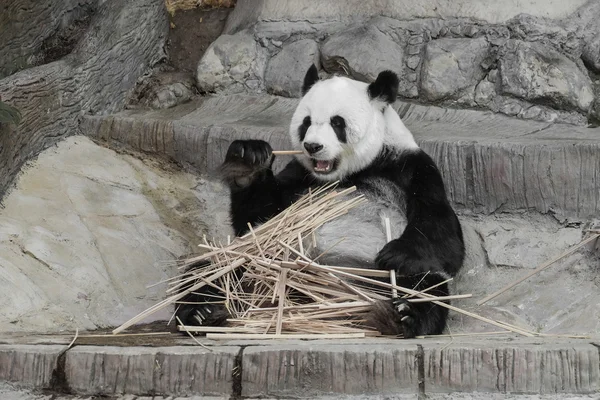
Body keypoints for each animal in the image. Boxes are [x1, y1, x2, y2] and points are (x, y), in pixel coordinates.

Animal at [176, 65, 466, 338]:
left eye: (337, 123)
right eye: (306, 122)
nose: (312, 146)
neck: (351, 172)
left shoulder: (411, 168)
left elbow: (444, 238)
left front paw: (394, 253)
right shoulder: (300, 177)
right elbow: (258, 218)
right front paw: (248, 161)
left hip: (378, 276)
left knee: (426, 287)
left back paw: (401, 315)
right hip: (256, 259)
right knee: (212, 269)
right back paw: (201, 312)